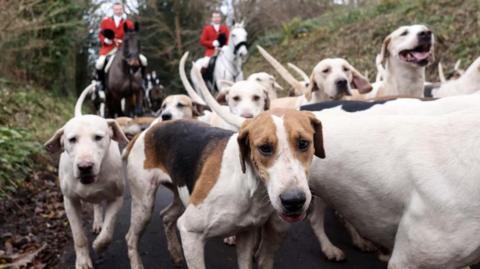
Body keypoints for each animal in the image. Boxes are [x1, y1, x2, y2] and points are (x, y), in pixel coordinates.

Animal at [124, 108, 326, 268]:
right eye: (264, 148)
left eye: (303, 143)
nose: (294, 201)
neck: (249, 186)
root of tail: (145, 132)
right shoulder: (191, 233)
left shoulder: (246, 234)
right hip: (144, 205)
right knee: (131, 238)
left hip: (182, 196)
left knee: (166, 216)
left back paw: (175, 253)